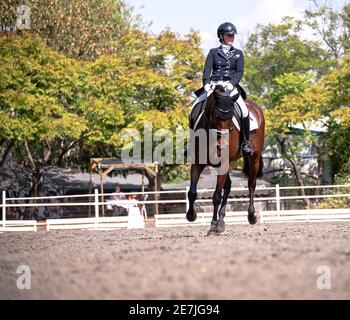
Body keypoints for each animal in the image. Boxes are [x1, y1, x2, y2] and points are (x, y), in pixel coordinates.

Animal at [186, 84, 266, 235]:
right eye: (216, 116)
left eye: (230, 117)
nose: (222, 146)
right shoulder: (198, 163)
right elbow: (192, 192)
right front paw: (191, 215)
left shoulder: (223, 163)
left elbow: (216, 196)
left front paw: (212, 227)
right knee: (228, 187)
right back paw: (221, 223)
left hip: (254, 158)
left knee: (251, 184)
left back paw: (251, 216)